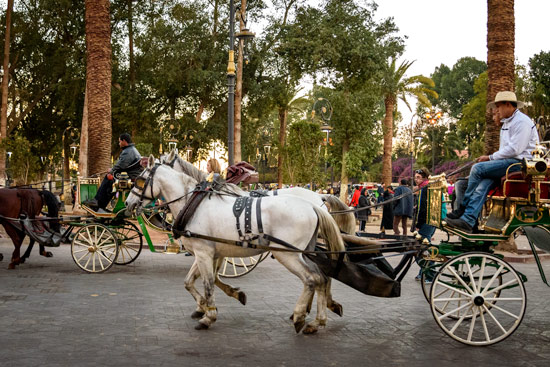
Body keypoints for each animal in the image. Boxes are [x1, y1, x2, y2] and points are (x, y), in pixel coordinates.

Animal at [127, 157, 348, 334]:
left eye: (139, 180)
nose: (128, 203)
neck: (193, 204)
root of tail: (314, 204)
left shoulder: (204, 253)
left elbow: (208, 283)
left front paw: (209, 315)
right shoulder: (208, 252)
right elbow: (190, 281)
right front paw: (205, 305)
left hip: (288, 254)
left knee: (311, 279)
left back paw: (300, 315)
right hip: (305, 252)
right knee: (322, 278)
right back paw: (317, 320)